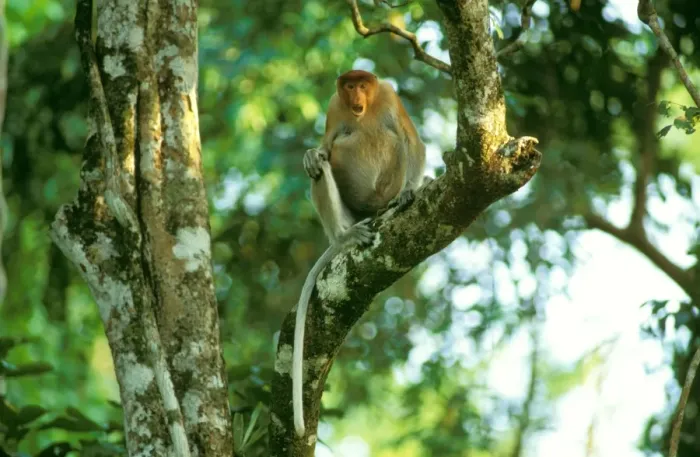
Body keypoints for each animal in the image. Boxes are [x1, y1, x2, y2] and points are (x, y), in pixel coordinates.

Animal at [293, 70, 428, 437]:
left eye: (363, 85)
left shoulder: (389, 96)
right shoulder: (334, 107)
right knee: (322, 166)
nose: (355, 95)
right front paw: (310, 154)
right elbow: (326, 147)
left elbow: (412, 142)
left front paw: (410, 191)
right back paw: (345, 237)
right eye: (349, 85)